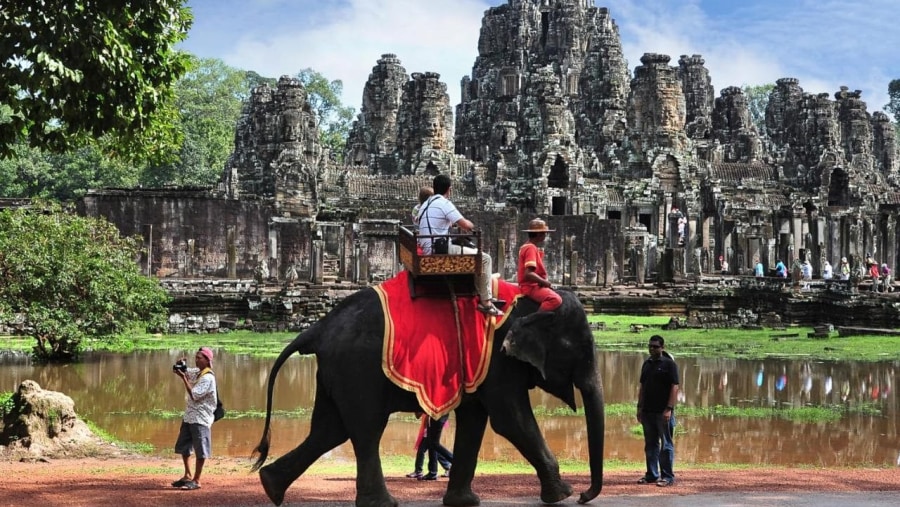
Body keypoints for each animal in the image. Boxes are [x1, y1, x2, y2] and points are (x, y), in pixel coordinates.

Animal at [251, 286, 604, 507]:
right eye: (581, 349)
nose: (585, 496)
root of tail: (318, 327)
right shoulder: (498, 361)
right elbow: (510, 419)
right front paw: (562, 495)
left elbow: (476, 419)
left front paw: (464, 502)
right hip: (357, 368)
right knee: (365, 429)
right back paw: (382, 503)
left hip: (336, 371)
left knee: (330, 429)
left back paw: (270, 486)